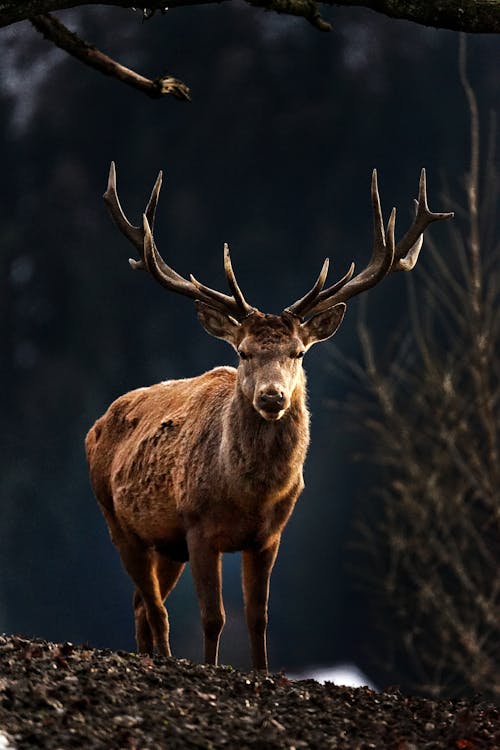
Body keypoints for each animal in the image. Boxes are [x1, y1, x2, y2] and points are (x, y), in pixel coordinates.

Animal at [87, 163, 454, 668]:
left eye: (298, 352)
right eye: (242, 352)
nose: (273, 396)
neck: (250, 495)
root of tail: (97, 424)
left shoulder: (268, 536)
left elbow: (258, 618)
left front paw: (261, 671)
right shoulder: (197, 526)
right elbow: (213, 618)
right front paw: (211, 665)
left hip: (164, 542)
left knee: (144, 604)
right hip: (117, 520)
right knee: (155, 608)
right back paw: (160, 655)